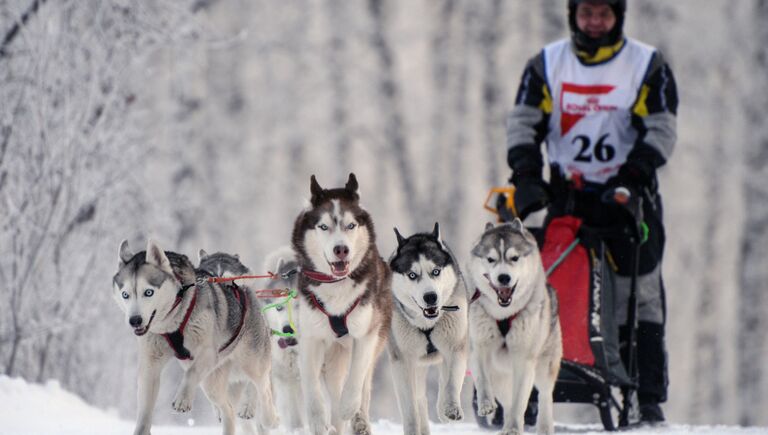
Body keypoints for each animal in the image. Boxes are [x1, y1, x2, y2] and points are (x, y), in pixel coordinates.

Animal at [111, 240, 280, 435]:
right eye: (125, 294)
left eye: (148, 292)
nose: (134, 320)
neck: (172, 322)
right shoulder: (150, 365)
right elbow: (144, 413)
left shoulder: (208, 353)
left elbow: (190, 374)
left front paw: (183, 399)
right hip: (210, 382)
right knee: (228, 408)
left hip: (251, 362)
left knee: (262, 389)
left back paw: (269, 418)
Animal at [292, 174, 392, 435]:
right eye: (323, 226)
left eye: (351, 226)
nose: (341, 249)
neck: (336, 286)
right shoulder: (310, 338)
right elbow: (312, 387)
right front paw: (318, 421)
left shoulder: (366, 335)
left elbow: (356, 378)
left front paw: (349, 408)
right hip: (333, 356)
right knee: (334, 388)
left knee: (363, 385)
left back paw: (358, 419)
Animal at [390, 225, 468, 435]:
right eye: (412, 275)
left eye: (436, 271)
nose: (430, 297)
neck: (426, 323)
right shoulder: (403, 361)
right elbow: (410, 406)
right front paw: (412, 427)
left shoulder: (455, 347)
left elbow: (451, 382)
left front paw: (451, 408)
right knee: (419, 399)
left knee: (442, 380)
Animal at [464, 221, 560, 435]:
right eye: (490, 259)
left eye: (514, 258)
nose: (504, 278)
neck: (503, 315)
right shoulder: (477, 347)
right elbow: (482, 378)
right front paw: (486, 404)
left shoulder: (525, 360)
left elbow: (520, 403)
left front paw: (514, 428)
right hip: (500, 376)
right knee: (506, 402)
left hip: (544, 365)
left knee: (544, 395)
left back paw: (543, 426)